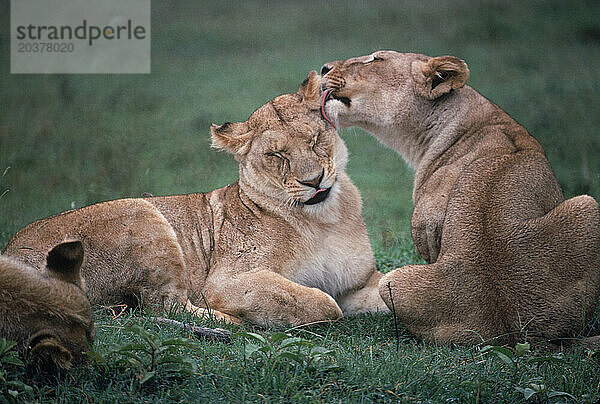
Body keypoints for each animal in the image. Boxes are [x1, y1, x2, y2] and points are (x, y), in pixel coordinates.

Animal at [3, 72, 390, 330]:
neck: (324, 218)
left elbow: (390, 286)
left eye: (314, 140)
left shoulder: (359, 283)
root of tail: (10, 255)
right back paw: (232, 322)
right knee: (164, 306)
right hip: (143, 213)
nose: (314, 181)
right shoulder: (227, 280)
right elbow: (323, 302)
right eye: (276, 155)